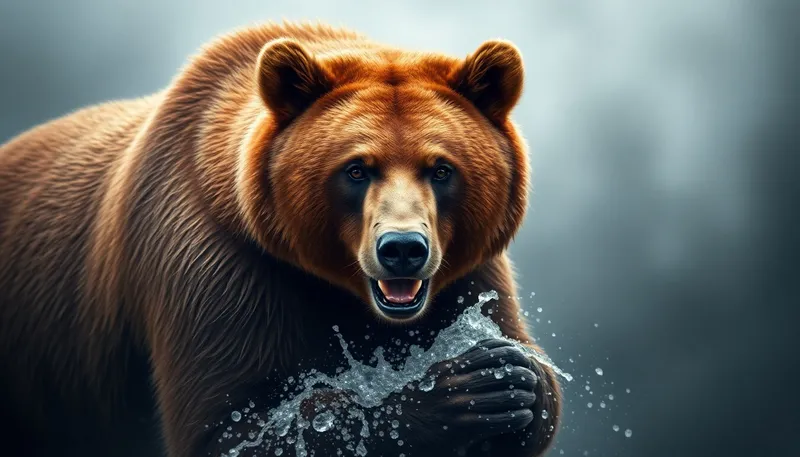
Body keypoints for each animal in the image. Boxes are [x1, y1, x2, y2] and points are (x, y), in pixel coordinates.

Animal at [0, 21, 561, 457]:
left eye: (441, 169)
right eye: (356, 169)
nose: (402, 250)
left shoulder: (468, 270)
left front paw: (517, 377)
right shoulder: (214, 262)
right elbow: (229, 428)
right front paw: (462, 386)